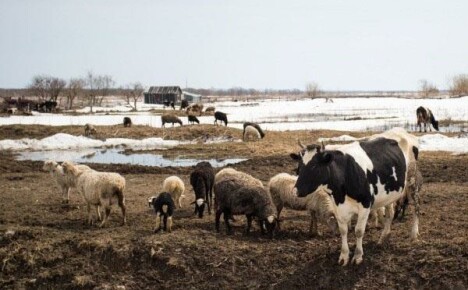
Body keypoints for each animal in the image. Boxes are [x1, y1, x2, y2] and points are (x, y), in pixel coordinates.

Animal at [292, 128, 420, 266]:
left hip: (412, 181)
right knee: (390, 214)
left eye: (315, 166)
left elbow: (358, 231)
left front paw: (358, 256)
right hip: (389, 192)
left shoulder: (365, 204)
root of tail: (401, 130)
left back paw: (414, 234)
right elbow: (343, 230)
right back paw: (383, 238)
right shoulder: (337, 206)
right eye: (299, 166)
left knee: (416, 207)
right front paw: (344, 256)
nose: (295, 191)